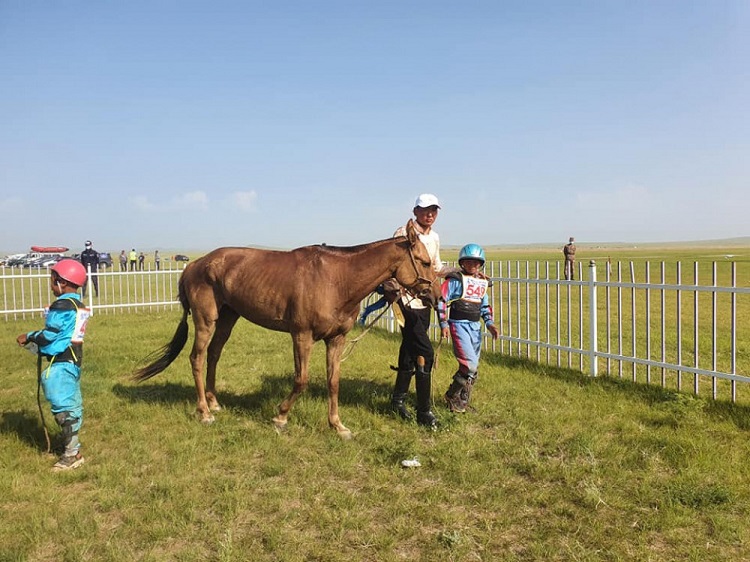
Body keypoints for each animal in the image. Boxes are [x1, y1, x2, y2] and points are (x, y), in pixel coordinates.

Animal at [131, 219, 438, 438]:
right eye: (424, 261)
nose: (435, 297)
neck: (336, 279)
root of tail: (193, 265)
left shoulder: (336, 340)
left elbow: (333, 382)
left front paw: (337, 426)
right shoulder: (302, 336)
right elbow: (301, 379)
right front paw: (280, 416)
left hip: (228, 318)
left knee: (214, 355)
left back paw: (214, 402)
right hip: (206, 320)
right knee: (197, 358)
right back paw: (205, 412)